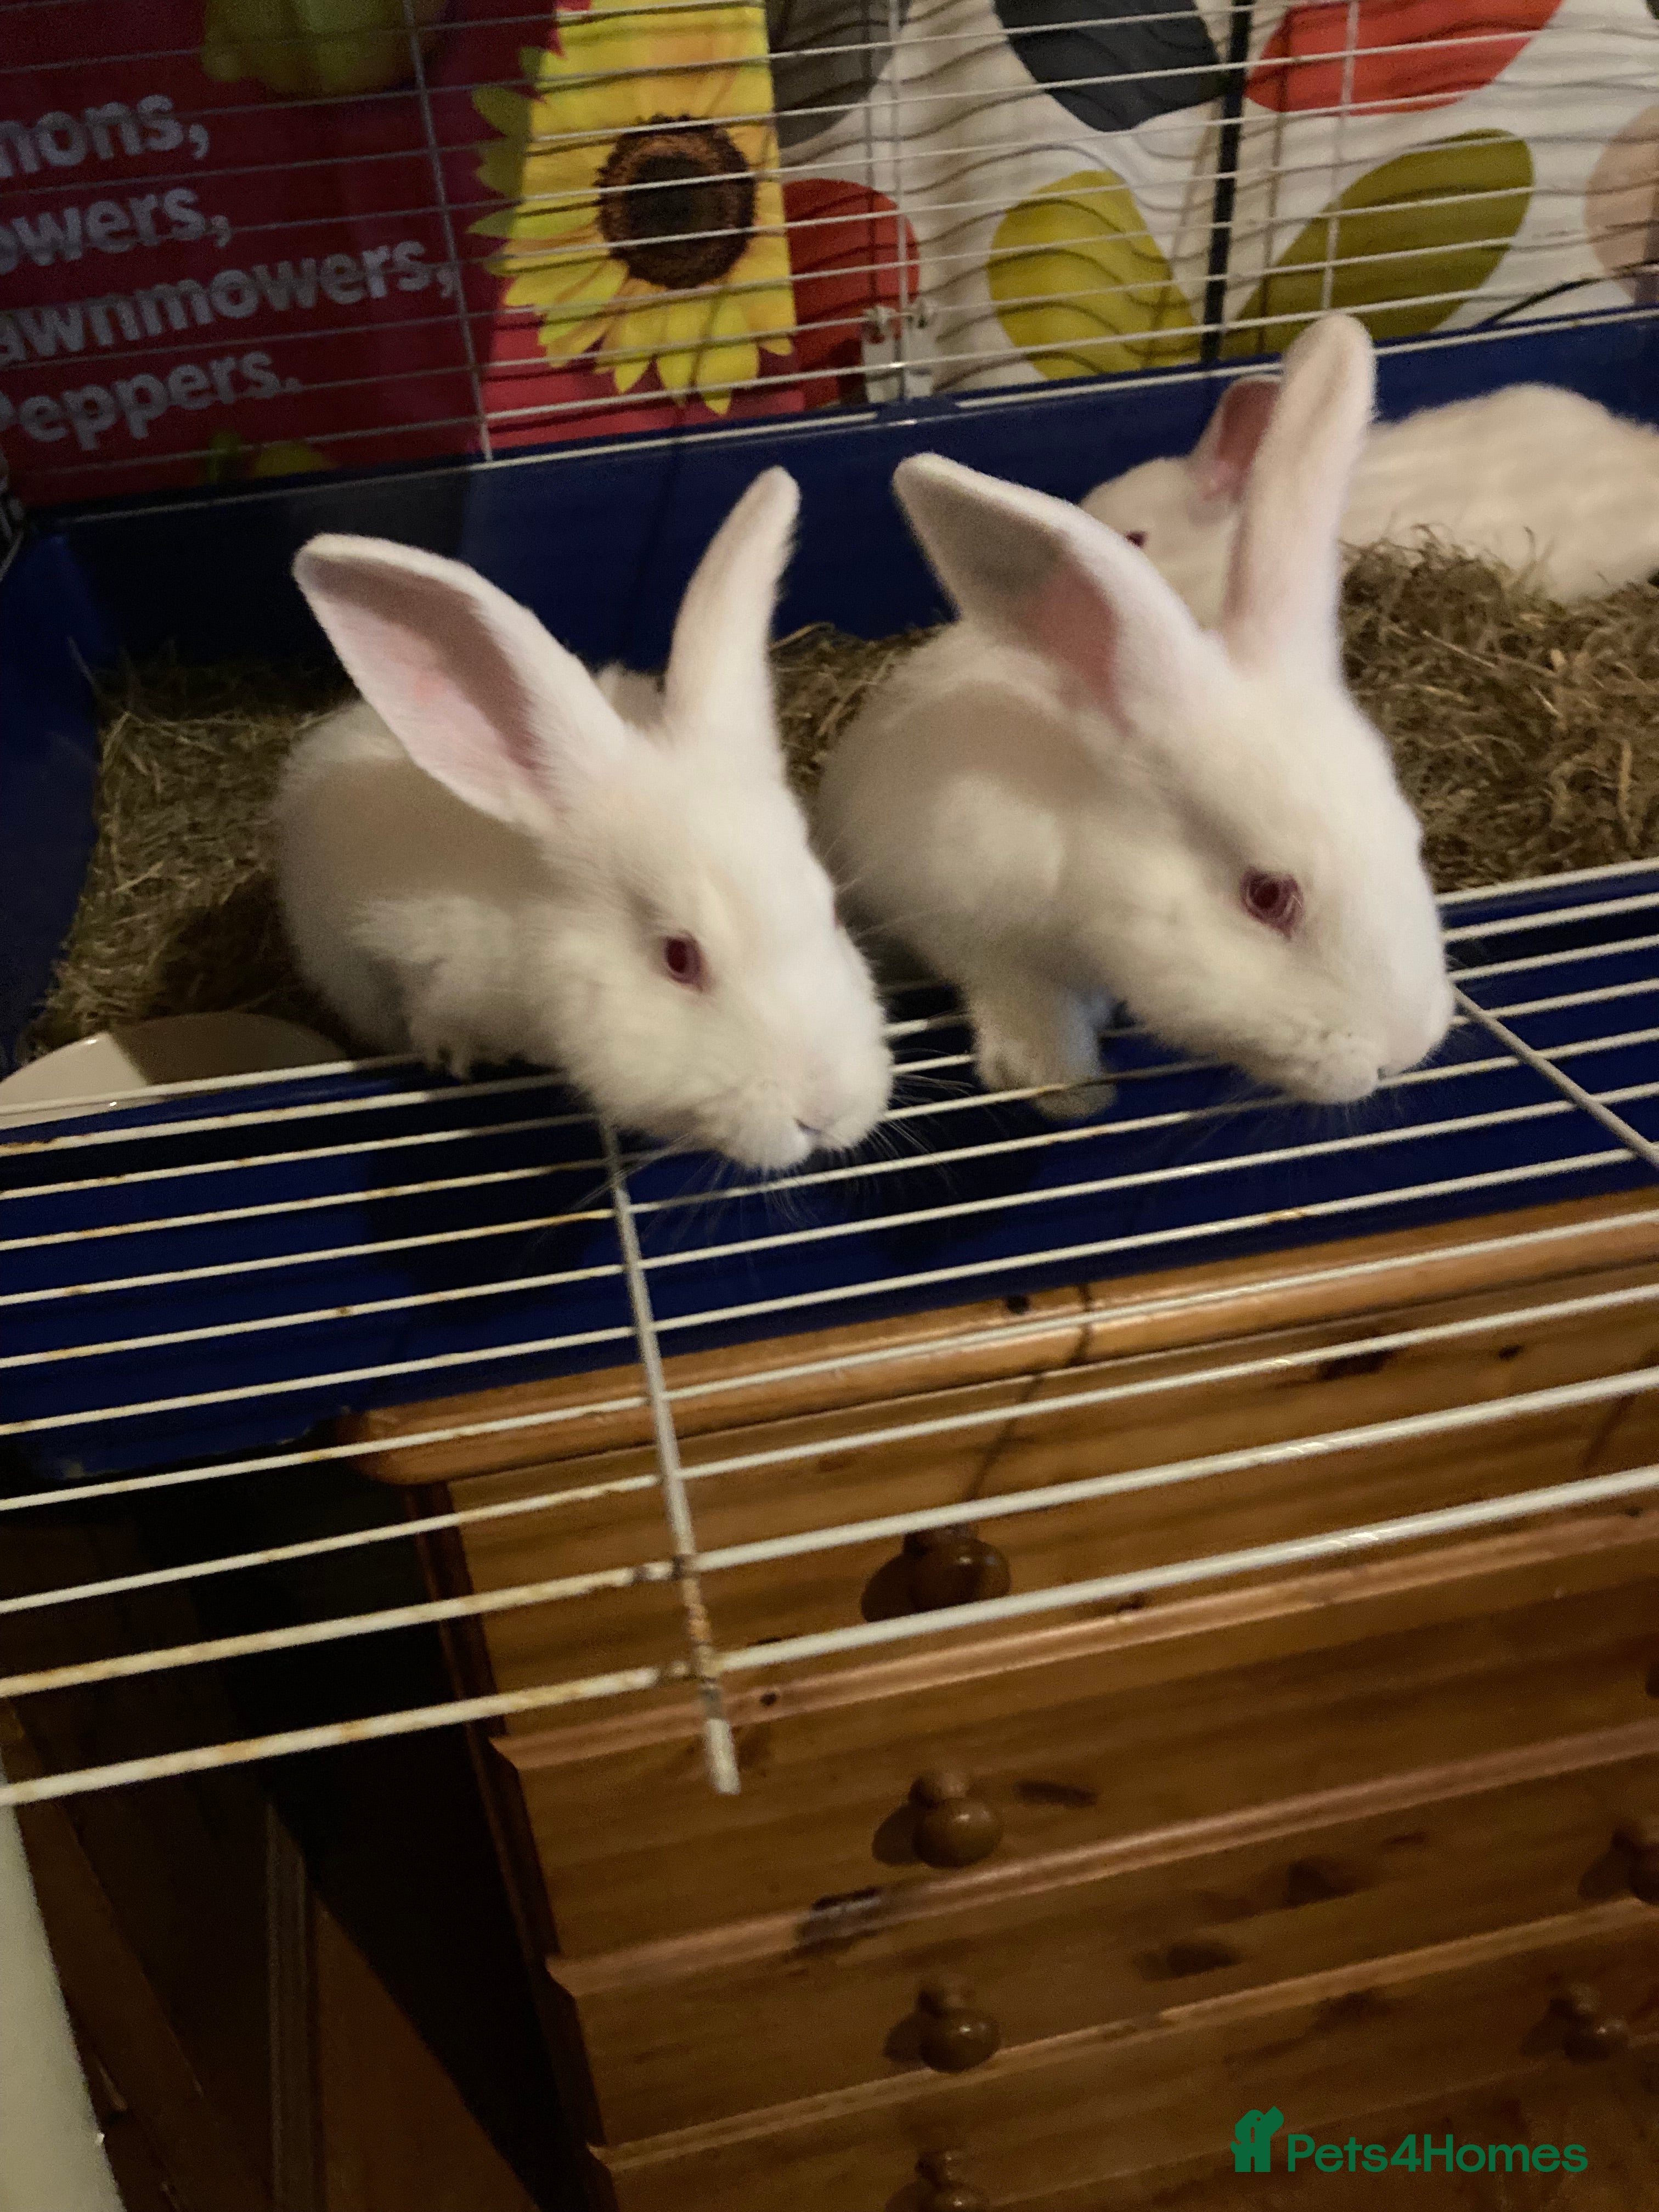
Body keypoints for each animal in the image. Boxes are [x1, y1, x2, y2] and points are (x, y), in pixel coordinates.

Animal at [815, 313, 1454, 1114]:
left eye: (1413, 838)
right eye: (1268, 897)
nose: (1406, 1051)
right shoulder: (977, 936)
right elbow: (1030, 1015)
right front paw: (1071, 1094)